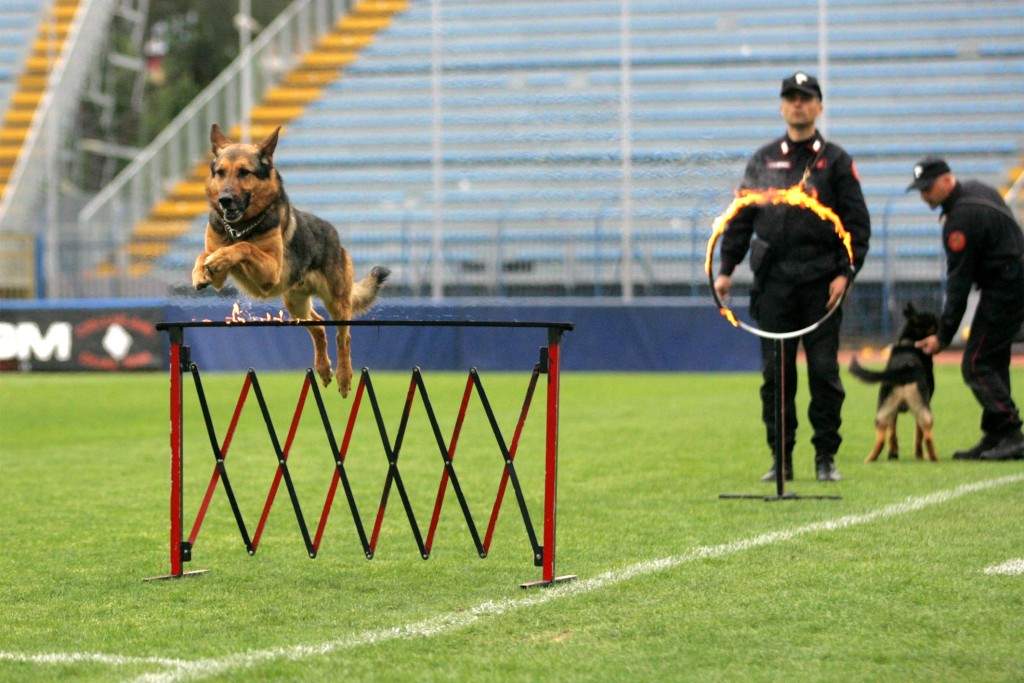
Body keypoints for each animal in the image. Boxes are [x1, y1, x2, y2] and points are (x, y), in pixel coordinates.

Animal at [191, 125, 387, 397]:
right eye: (220, 173)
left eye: (244, 172)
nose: (225, 200)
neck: (240, 228)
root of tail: (334, 234)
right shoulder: (220, 275)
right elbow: (205, 254)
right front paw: (201, 271)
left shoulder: (270, 271)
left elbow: (244, 247)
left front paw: (223, 255)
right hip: (295, 303)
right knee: (318, 325)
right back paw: (323, 369)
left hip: (337, 301)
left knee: (343, 337)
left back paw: (344, 377)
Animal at [847, 305, 937, 462]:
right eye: (931, 320)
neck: (909, 342)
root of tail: (905, 368)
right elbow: (918, 435)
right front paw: (918, 455)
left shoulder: (893, 411)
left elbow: (892, 433)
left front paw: (893, 454)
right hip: (921, 407)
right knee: (926, 433)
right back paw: (933, 457)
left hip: (883, 409)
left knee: (881, 437)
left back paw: (870, 459)